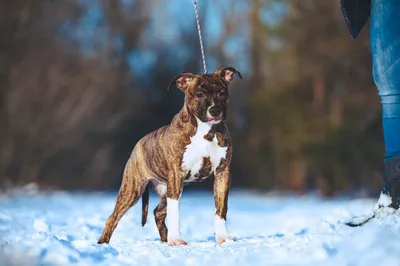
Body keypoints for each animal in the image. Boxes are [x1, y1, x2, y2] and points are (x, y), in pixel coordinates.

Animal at [97, 65, 242, 246]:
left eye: (222, 93)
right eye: (199, 94)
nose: (215, 110)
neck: (205, 131)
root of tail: (138, 144)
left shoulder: (223, 172)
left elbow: (221, 208)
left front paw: (224, 237)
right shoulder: (176, 174)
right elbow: (175, 212)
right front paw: (176, 240)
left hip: (164, 189)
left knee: (157, 212)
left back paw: (164, 238)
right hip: (132, 189)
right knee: (113, 217)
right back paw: (102, 243)